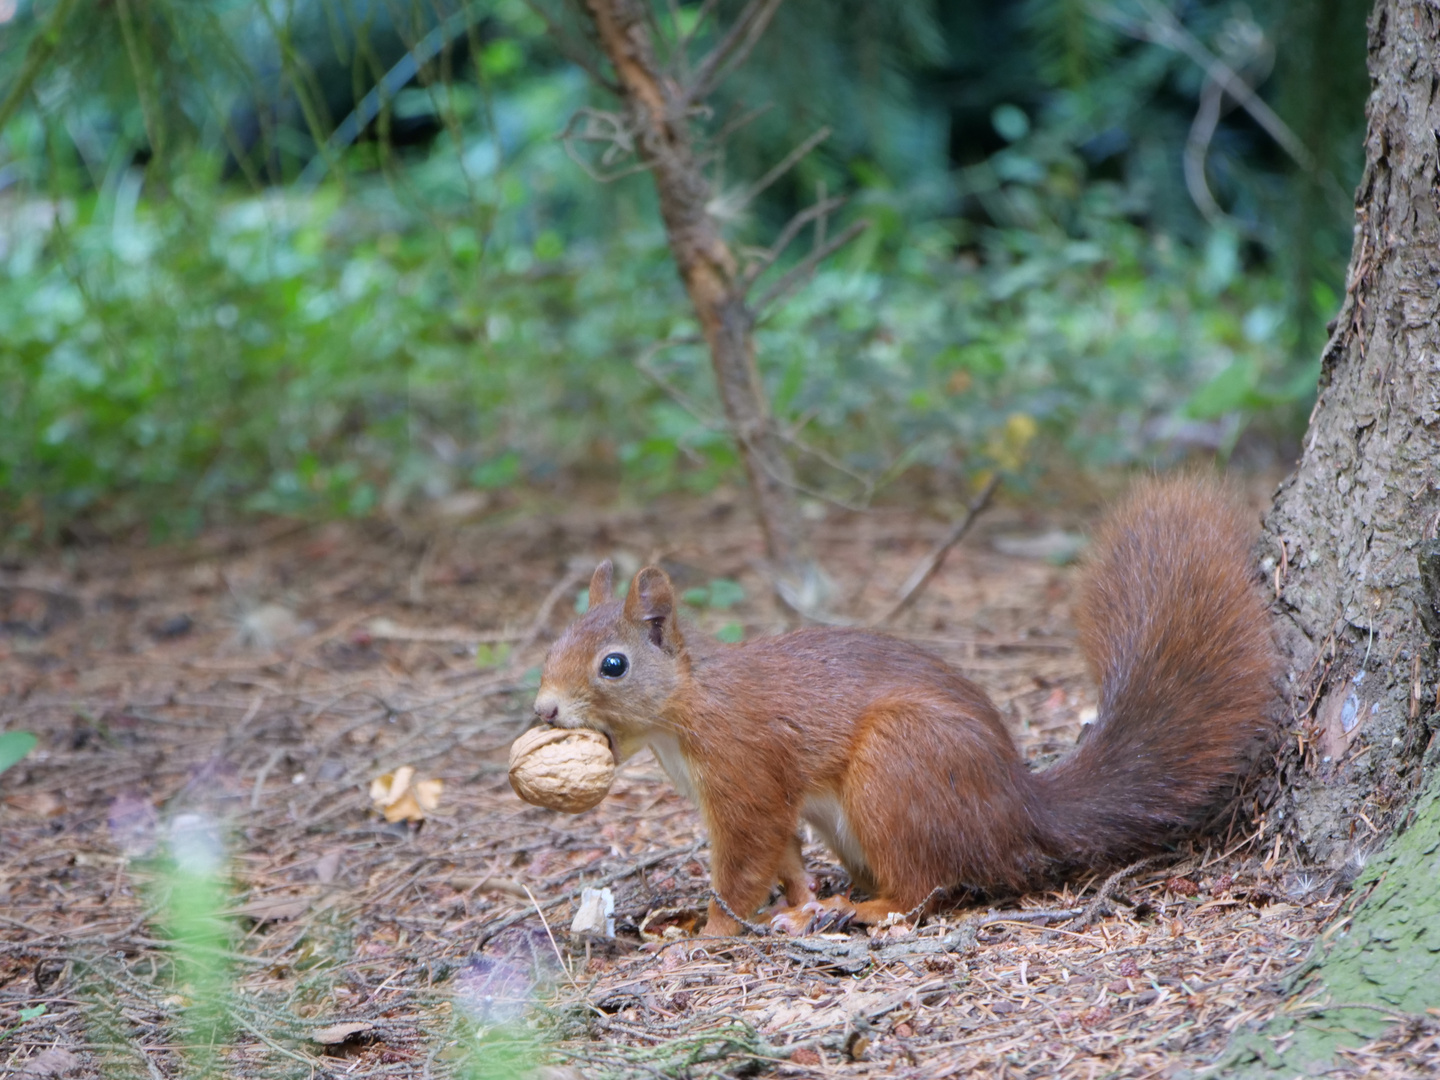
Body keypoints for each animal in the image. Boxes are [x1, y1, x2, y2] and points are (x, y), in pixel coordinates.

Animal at [538, 478, 1272, 933]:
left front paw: (709, 931)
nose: (544, 711)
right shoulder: (764, 799)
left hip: (899, 768)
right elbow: (787, 859)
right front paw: (788, 904)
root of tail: (1022, 813)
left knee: (925, 887)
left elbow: (746, 862)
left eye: (613, 665)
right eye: (554, 642)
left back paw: (868, 910)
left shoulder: (745, 773)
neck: (686, 709)